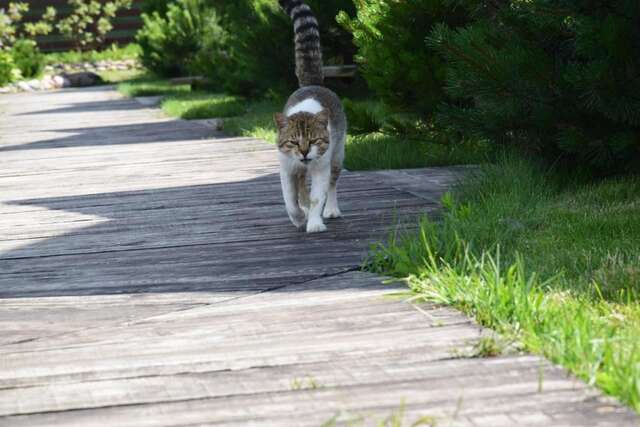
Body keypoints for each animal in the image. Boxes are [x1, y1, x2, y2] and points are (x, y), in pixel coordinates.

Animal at [274, 0, 348, 234]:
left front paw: (314, 222)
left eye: (314, 140)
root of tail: (312, 84)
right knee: (299, 186)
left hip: (337, 154)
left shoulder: (321, 167)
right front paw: (298, 217)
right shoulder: (286, 167)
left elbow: (318, 196)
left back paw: (331, 209)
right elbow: (289, 198)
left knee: (332, 183)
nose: (305, 152)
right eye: (293, 141)